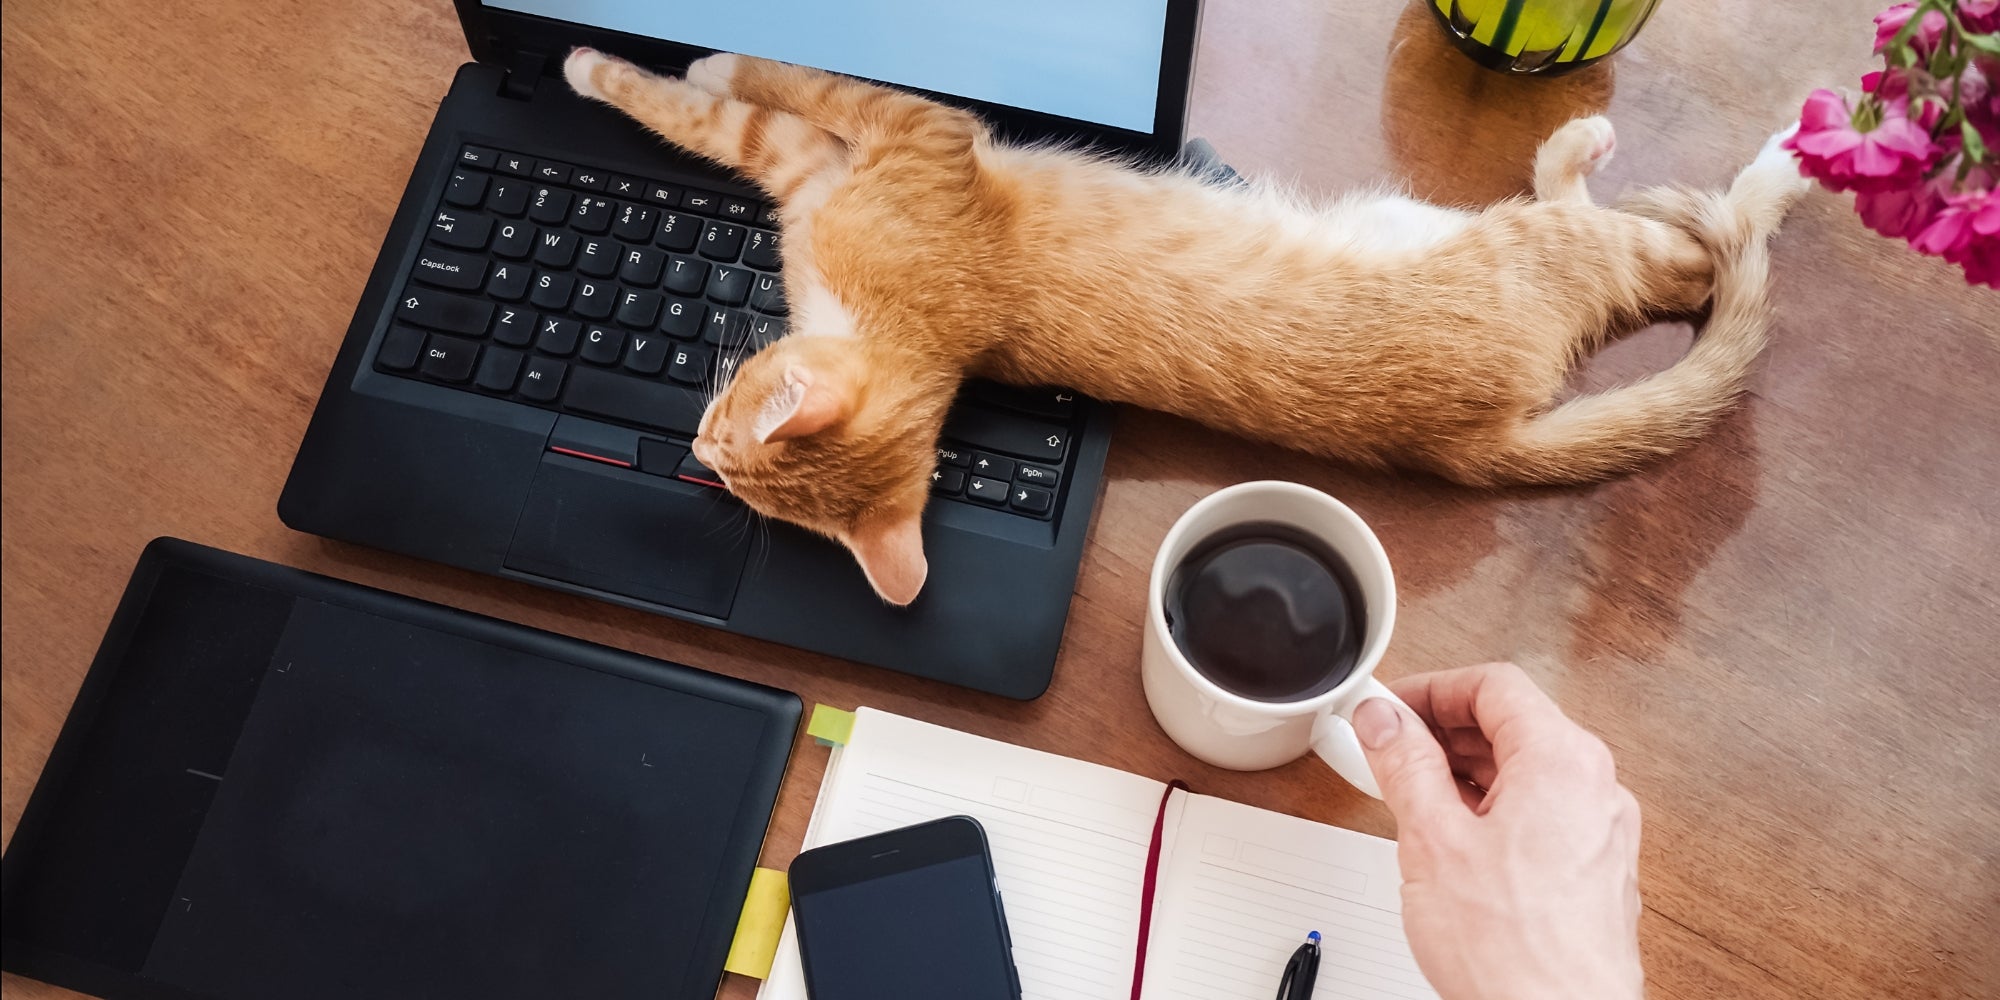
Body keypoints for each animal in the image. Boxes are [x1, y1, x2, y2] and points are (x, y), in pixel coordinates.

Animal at [560, 48, 1816, 600]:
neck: (904, 320)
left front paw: (651, 57)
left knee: (1693, 254)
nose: (692, 448)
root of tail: (1473, 439)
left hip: (1540, 248)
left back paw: (1777, 160)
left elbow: (761, 90)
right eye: (722, 464)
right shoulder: (810, 169)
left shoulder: (900, 137)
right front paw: (635, 65)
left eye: (726, 428)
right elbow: (722, 118)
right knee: (1666, 255)